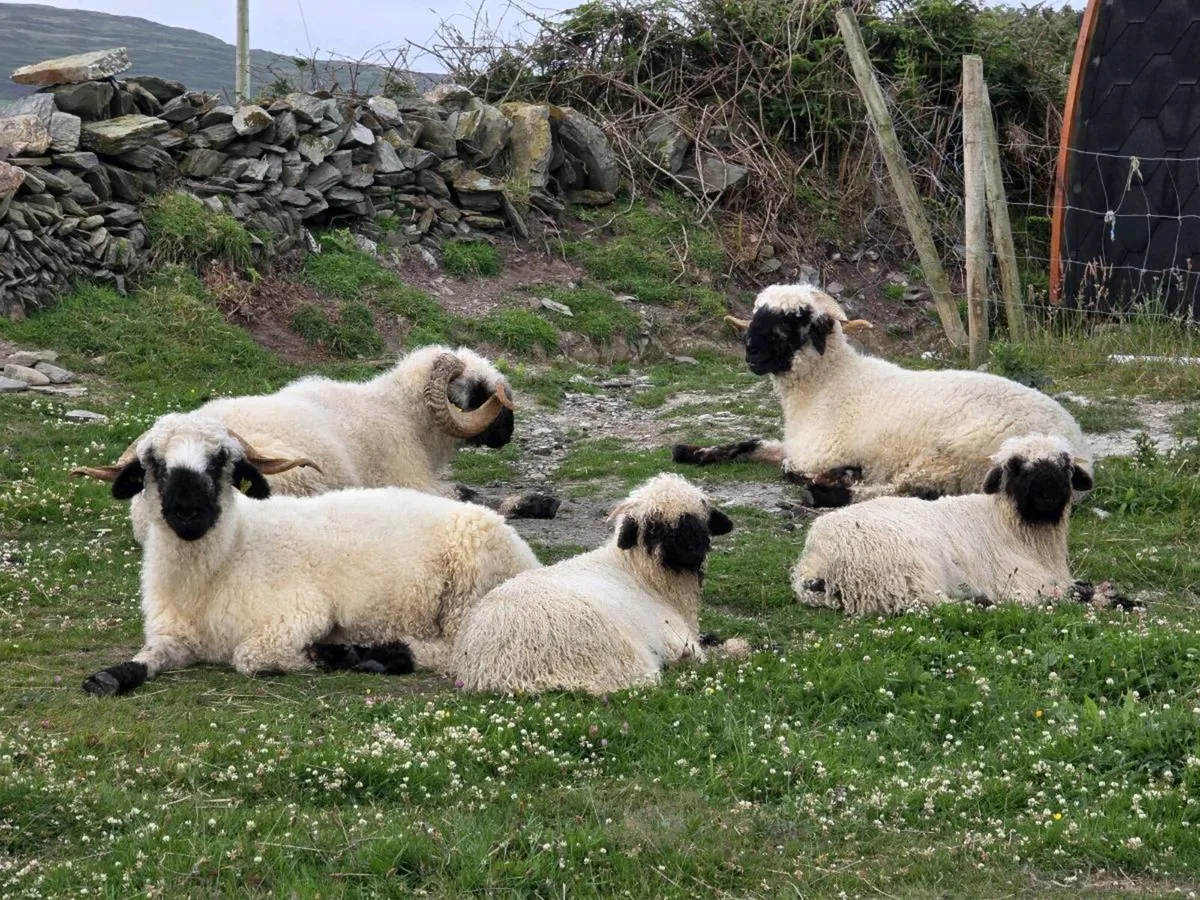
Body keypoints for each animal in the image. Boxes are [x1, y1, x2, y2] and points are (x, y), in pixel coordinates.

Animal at [71, 413, 540, 696]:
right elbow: (148, 657)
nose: (188, 513)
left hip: (468, 591)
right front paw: (110, 677)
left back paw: (374, 656)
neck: (231, 558)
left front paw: (320, 656)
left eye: (221, 460)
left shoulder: (303, 612)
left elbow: (251, 658)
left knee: (452, 649)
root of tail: (523, 551)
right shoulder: (174, 636)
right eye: (154, 463)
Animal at [127, 345, 541, 543]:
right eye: (481, 390)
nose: (508, 432)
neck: (402, 414)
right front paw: (535, 502)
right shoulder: (407, 480)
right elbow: (466, 495)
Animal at [447, 474, 748, 696]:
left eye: (701, 518)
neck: (643, 576)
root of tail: (502, 670)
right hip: (618, 653)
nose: (693, 549)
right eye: (654, 525)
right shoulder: (675, 638)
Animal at [673, 284, 1092, 507]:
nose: (751, 352)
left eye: (796, 319)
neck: (829, 385)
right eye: (759, 311)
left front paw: (840, 473)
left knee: (904, 489)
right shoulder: (797, 444)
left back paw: (833, 488)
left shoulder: (819, 452)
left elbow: (789, 468)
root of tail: (1077, 447)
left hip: (954, 455)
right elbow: (754, 443)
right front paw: (693, 451)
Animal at [791, 433, 1093, 616]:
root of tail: (817, 562)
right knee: (931, 603)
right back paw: (980, 600)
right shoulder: (1023, 584)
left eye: (1065, 465)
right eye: (1016, 466)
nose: (1047, 494)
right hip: (906, 572)